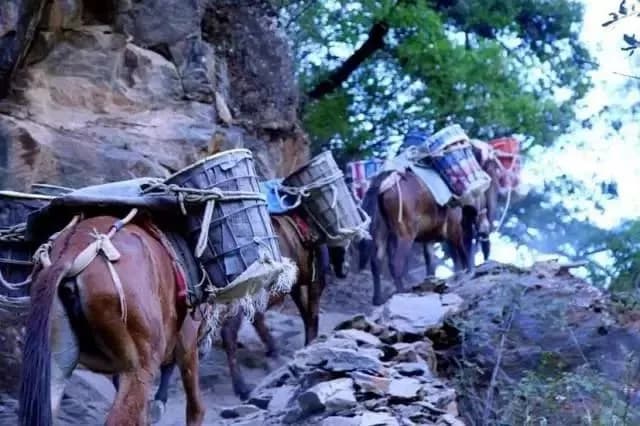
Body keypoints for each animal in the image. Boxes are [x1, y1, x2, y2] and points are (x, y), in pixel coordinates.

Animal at [358, 170, 475, 305]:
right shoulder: (453, 226)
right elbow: (460, 249)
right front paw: (467, 271)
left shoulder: (428, 238)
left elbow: (430, 261)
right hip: (405, 234)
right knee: (395, 262)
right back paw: (401, 292)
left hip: (380, 233)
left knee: (376, 262)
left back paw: (378, 299)